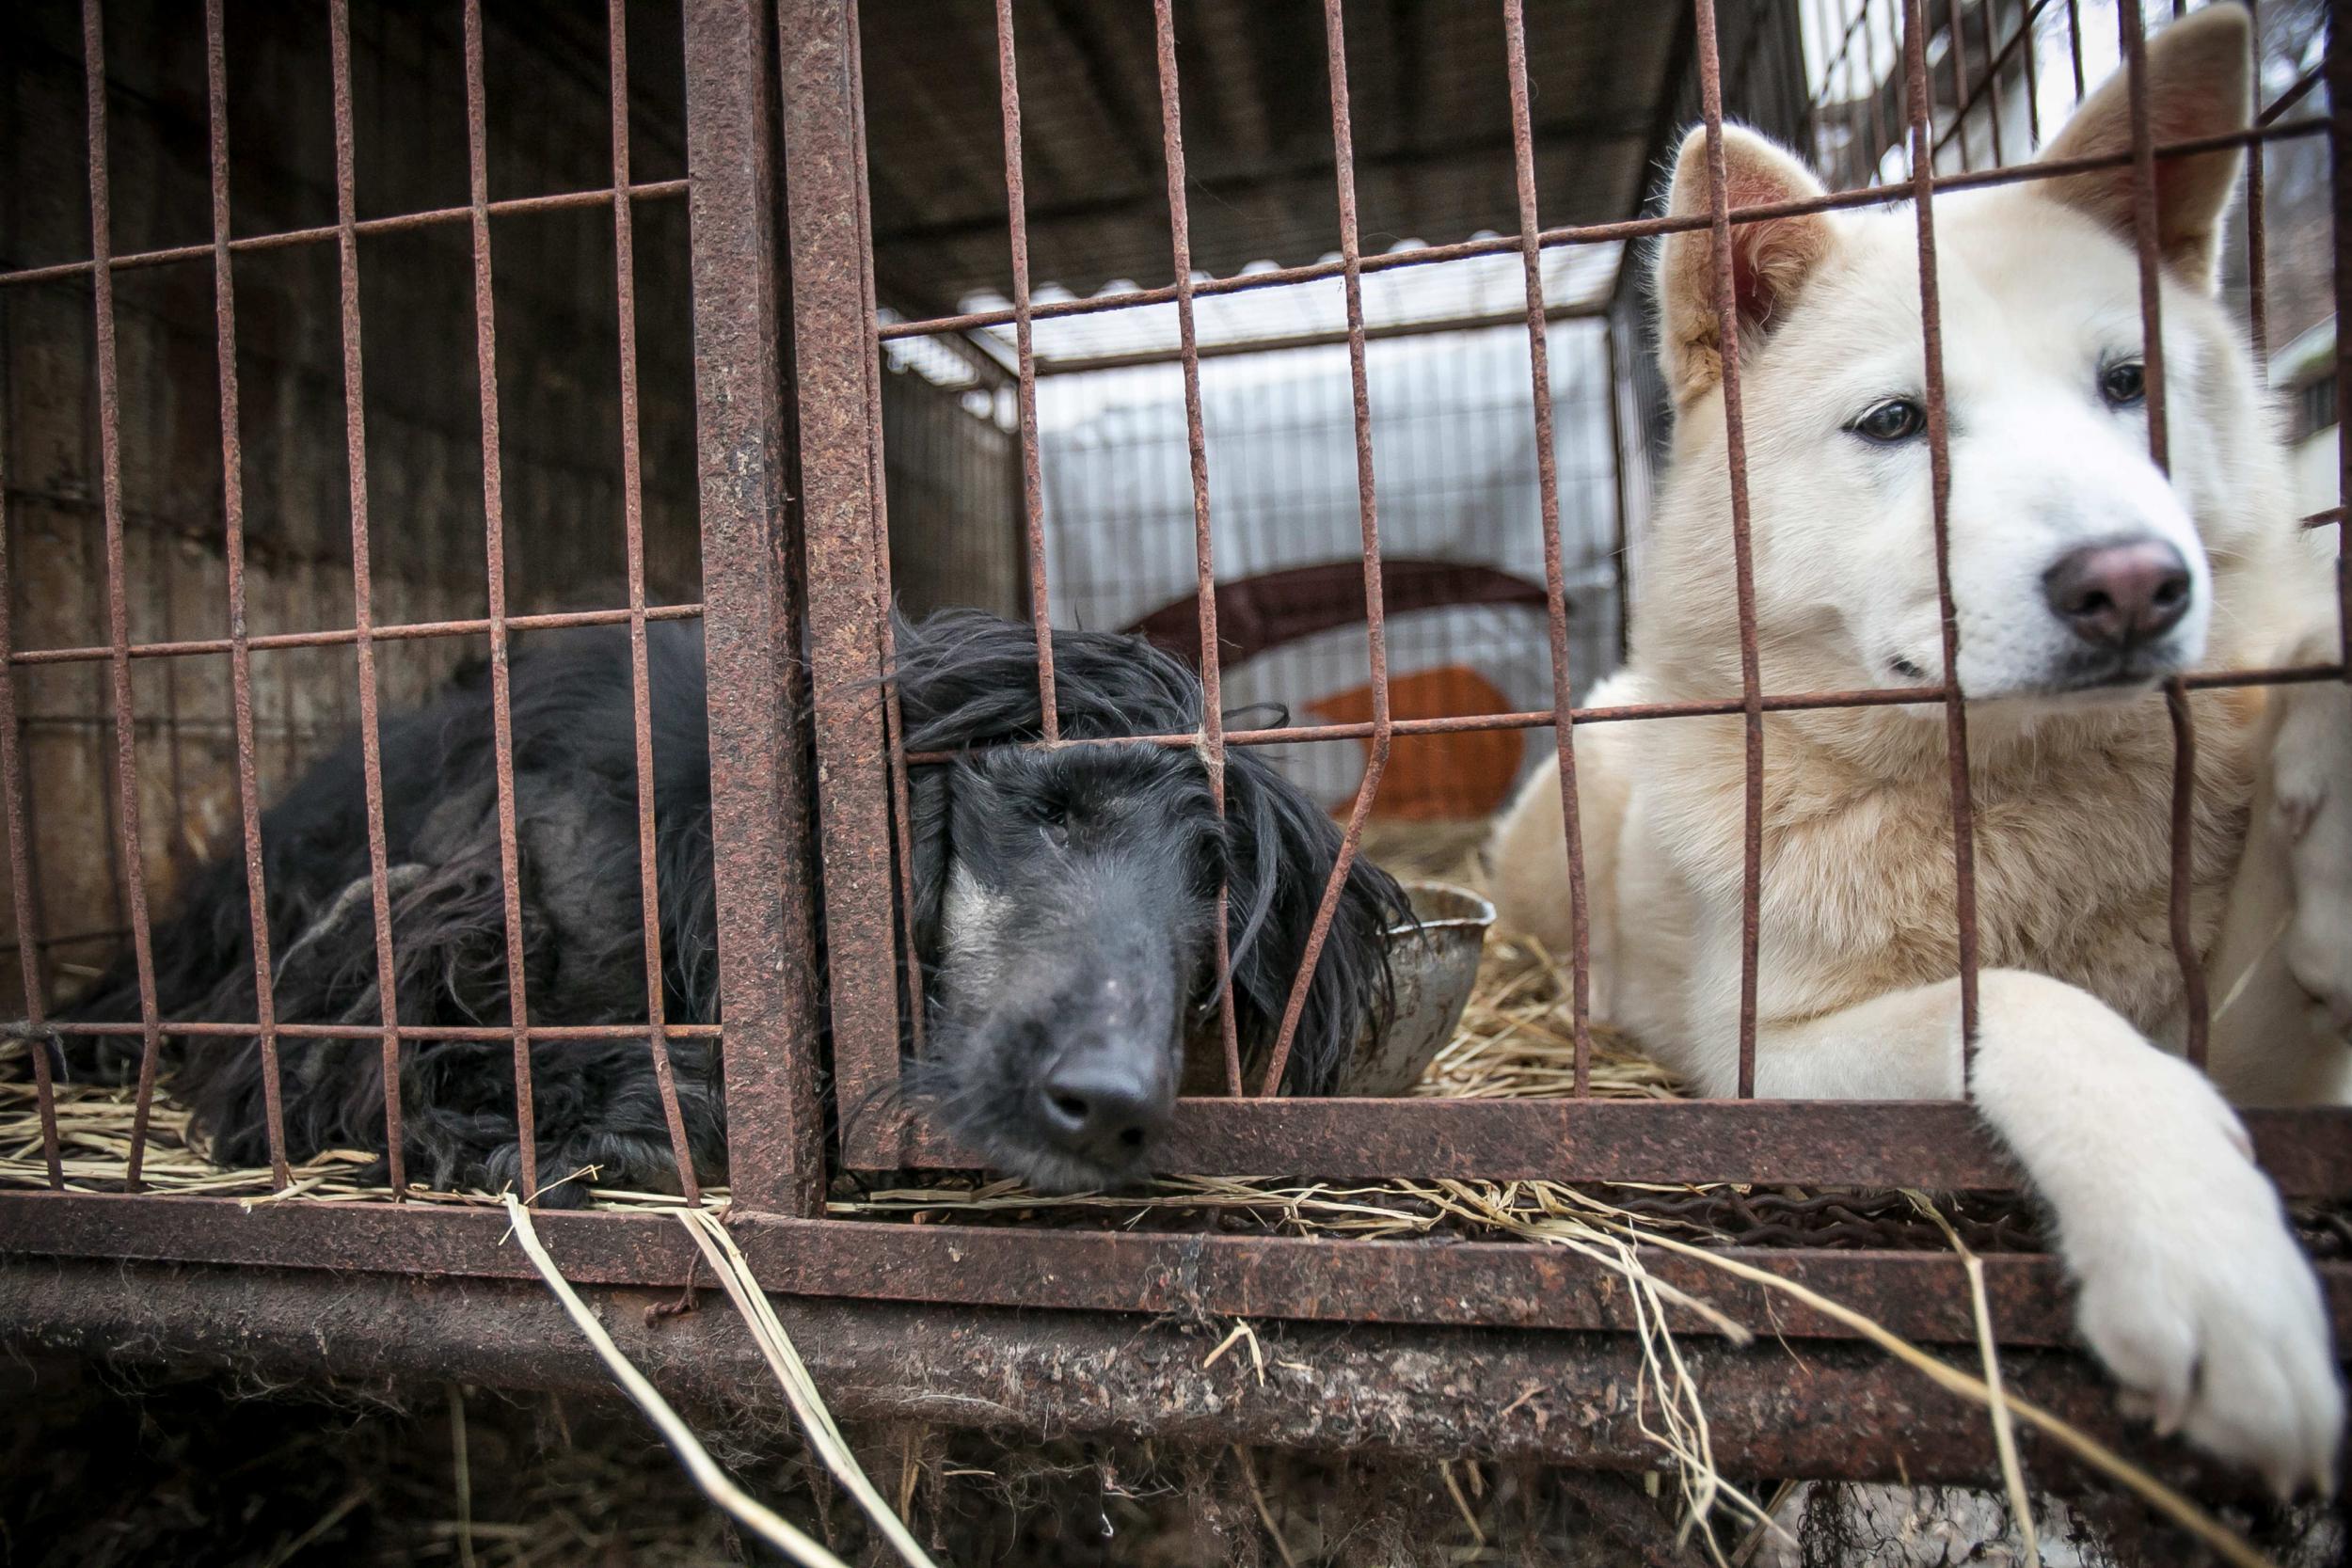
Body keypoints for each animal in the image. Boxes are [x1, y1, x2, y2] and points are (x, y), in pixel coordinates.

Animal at [1496, 0, 2343, 1495]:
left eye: (2128, 383)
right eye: (1895, 421)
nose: (2133, 582)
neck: (2009, 797)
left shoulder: (2247, 1039)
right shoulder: (1763, 1057)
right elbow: (2020, 1000)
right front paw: (2201, 1257)